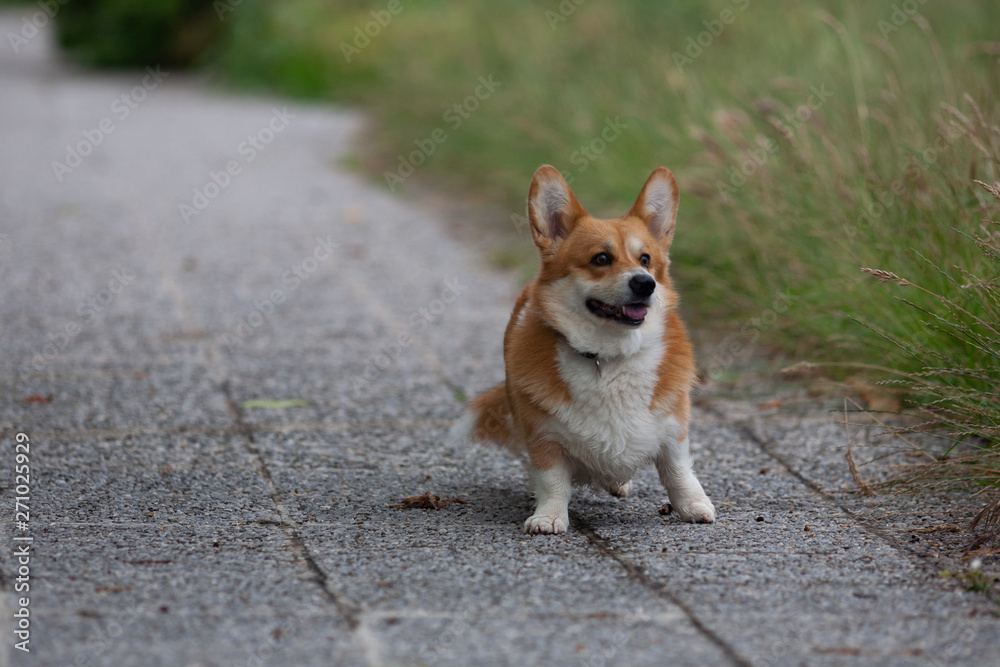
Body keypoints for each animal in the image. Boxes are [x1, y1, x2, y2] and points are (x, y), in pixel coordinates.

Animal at [450, 167, 716, 536]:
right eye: (601, 259)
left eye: (645, 259)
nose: (645, 283)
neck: (608, 356)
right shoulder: (543, 436)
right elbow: (553, 481)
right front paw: (549, 516)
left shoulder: (674, 430)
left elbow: (678, 472)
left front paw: (692, 506)